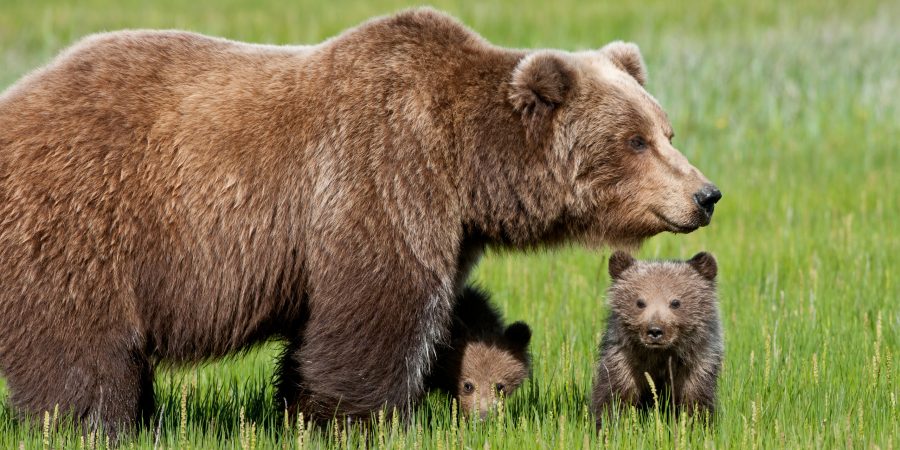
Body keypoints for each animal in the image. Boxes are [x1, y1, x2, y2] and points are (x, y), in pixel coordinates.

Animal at [592, 251, 724, 424]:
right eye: (640, 302)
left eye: (675, 302)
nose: (655, 331)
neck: (659, 356)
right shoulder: (624, 361)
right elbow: (614, 396)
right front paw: (608, 422)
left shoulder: (697, 364)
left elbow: (695, 401)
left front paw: (695, 423)